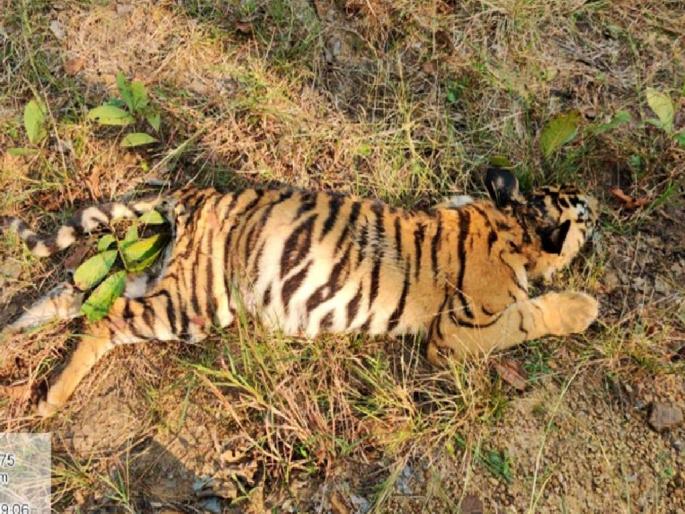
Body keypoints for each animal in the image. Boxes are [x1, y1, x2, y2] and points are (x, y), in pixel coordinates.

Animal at [0, 168, 599, 417]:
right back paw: (52, 398)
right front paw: (582, 306)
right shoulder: (457, 331)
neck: (513, 219)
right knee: (107, 316)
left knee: (82, 292)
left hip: (169, 278)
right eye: (587, 214)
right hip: (194, 303)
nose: (599, 204)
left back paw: (15, 330)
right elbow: (526, 317)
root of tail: (196, 193)